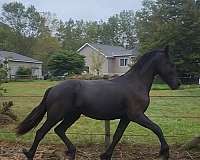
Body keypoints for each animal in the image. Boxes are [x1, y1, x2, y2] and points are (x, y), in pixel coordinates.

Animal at [16, 45, 180, 159]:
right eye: (171, 64)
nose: (177, 84)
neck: (135, 83)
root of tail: (53, 88)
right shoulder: (136, 115)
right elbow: (157, 128)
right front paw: (165, 152)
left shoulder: (126, 118)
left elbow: (117, 136)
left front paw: (105, 155)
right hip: (55, 115)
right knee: (41, 132)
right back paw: (29, 154)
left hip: (72, 115)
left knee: (59, 130)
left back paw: (72, 151)